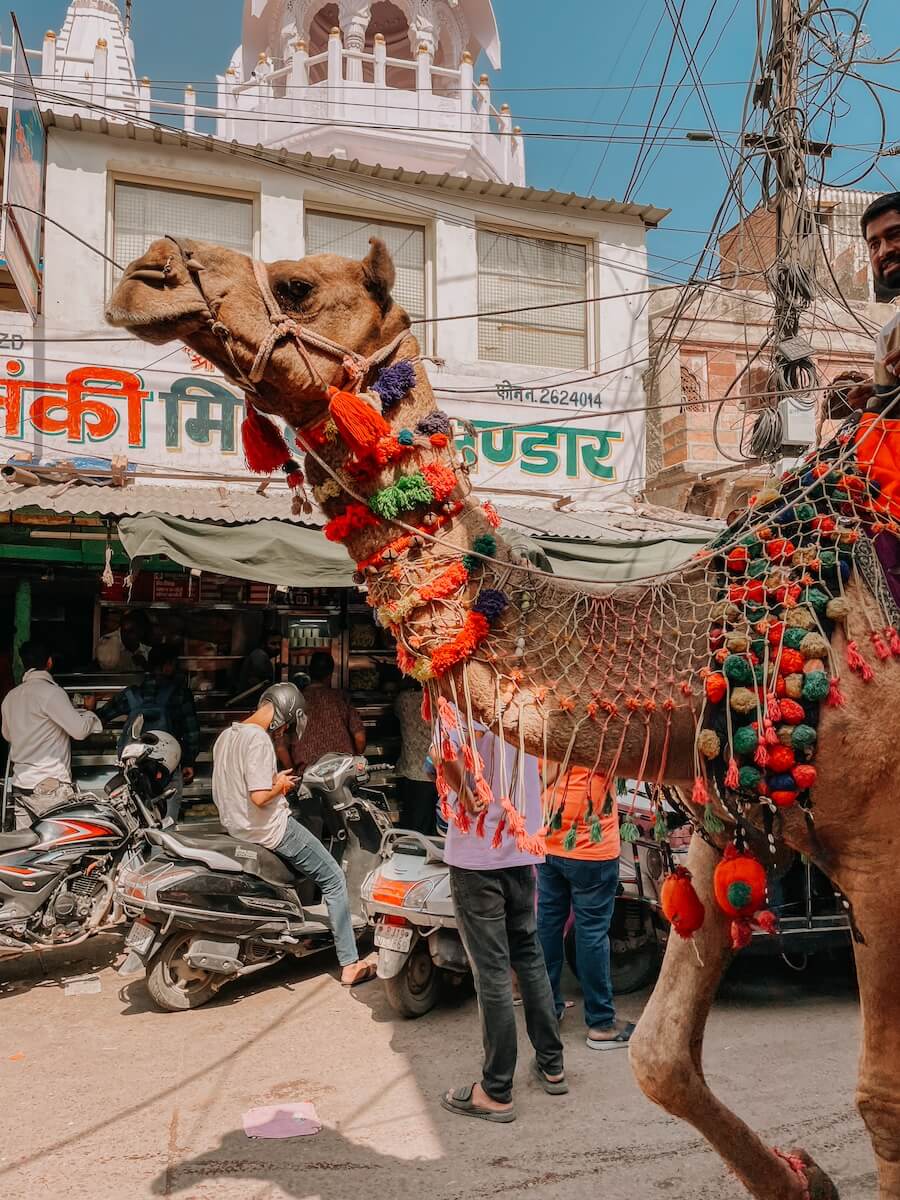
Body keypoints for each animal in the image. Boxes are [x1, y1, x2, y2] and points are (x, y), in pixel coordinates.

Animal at [109, 236, 900, 1200]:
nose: (147, 272)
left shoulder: (882, 852)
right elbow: (657, 1055)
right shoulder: (728, 817)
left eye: (297, 284)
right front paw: (804, 1178)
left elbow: (880, 1100)